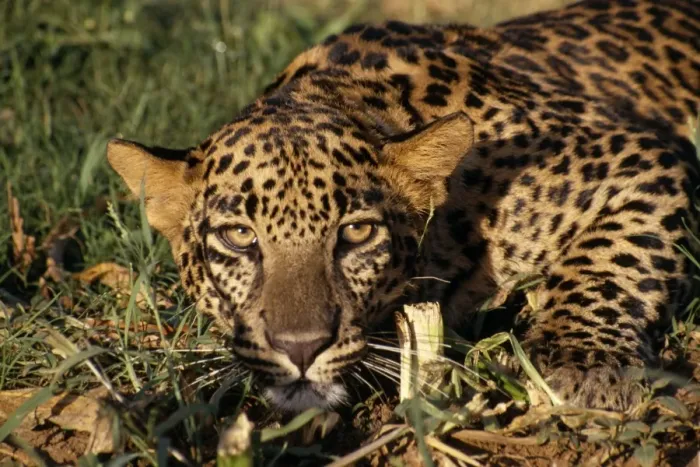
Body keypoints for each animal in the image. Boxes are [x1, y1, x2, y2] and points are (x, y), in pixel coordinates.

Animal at [107, 0, 700, 412]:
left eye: (356, 233)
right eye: (239, 237)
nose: (301, 349)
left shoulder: (638, 157)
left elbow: (610, 263)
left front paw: (584, 364)